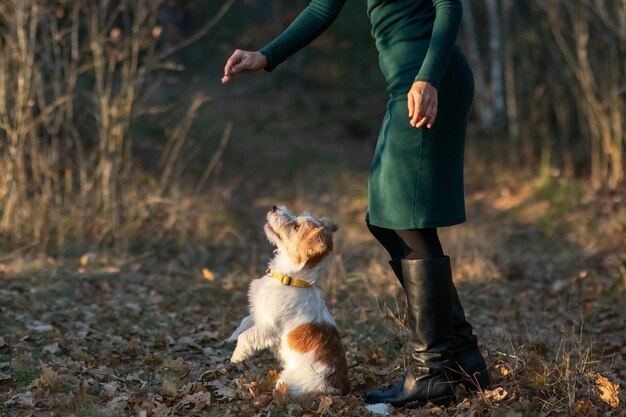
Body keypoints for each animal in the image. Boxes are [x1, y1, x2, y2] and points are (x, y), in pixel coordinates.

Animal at [228, 205, 348, 396]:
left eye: (297, 227)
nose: (274, 207)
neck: (290, 280)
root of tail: (339, 389)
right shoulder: (260, 313)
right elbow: (245, 321)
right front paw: (233, 335)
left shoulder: (268, 326)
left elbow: (246, 336)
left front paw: (236, 355)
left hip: (286, 382)